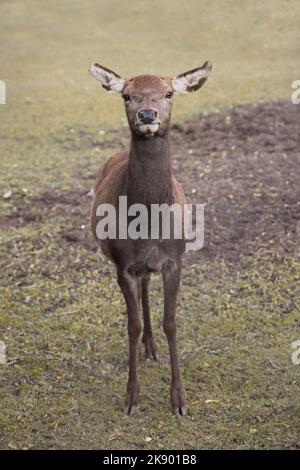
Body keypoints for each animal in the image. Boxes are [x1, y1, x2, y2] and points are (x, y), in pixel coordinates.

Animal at [88, 61, 211, 414]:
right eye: (126, 95)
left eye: (168, 93)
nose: (146, 115)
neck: (149, 224)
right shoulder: (123, 265)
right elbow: (132, 325)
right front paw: (131, 399)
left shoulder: (175, 260)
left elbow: (171, 322)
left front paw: (180, 400)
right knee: (142, 289)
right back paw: (147, 348)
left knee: (147, 286)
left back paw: (152, 348)